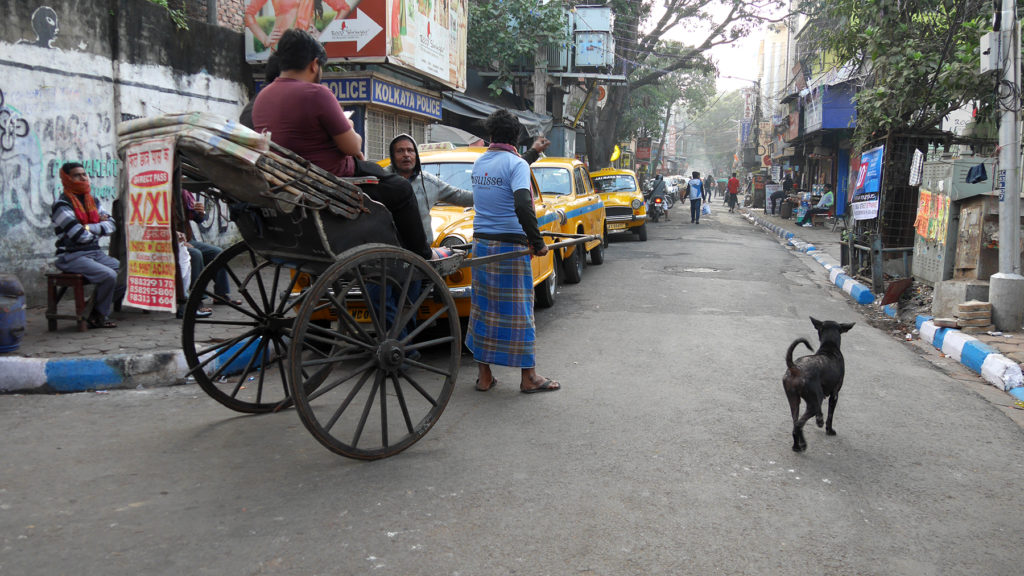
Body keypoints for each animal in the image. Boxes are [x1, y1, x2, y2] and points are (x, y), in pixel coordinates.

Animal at [782, 315, 856, 450]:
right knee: (799, 424)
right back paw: (803, 444)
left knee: (795, 422)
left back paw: (796, 446)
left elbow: (820, 413)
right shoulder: (834, 394)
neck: (829, 346)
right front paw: (829, 429)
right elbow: (830, 415)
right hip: (814, 402)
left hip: (794, 400)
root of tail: (795, 368)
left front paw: (819, 420)